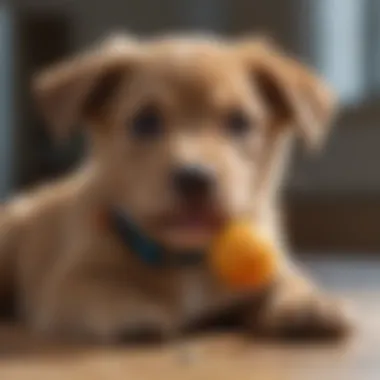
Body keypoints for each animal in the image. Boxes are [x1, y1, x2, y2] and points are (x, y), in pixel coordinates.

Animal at [0, 33, 350, 342]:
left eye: (239, 121)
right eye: (144, 122)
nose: (194, 178)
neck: (186, 258)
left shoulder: (273, 266)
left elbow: (290, 281)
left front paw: (308, 303)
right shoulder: (65, 285)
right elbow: (100, 288)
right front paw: (134, 308)